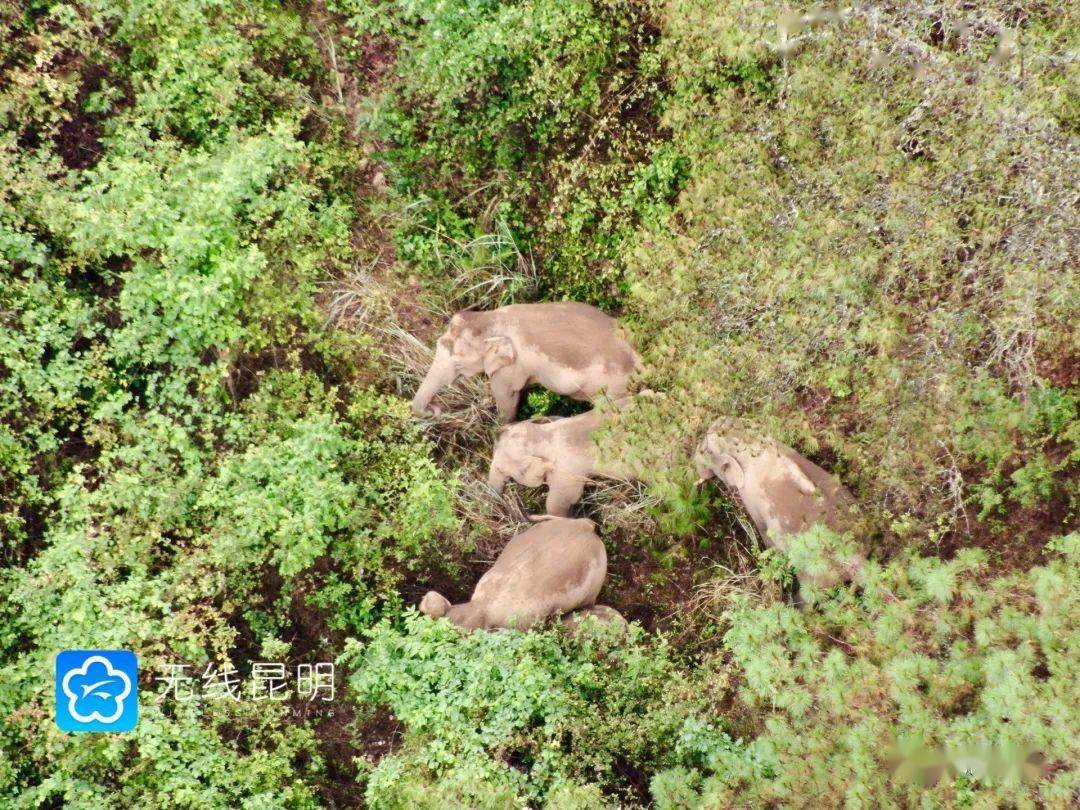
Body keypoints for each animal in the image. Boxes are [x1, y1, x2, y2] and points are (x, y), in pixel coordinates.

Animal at [408, 302, 635, 425]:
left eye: (458, 364)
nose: (435, 410)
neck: (491, 318)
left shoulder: (510, 368)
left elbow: (506, 397)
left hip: (614, 389)